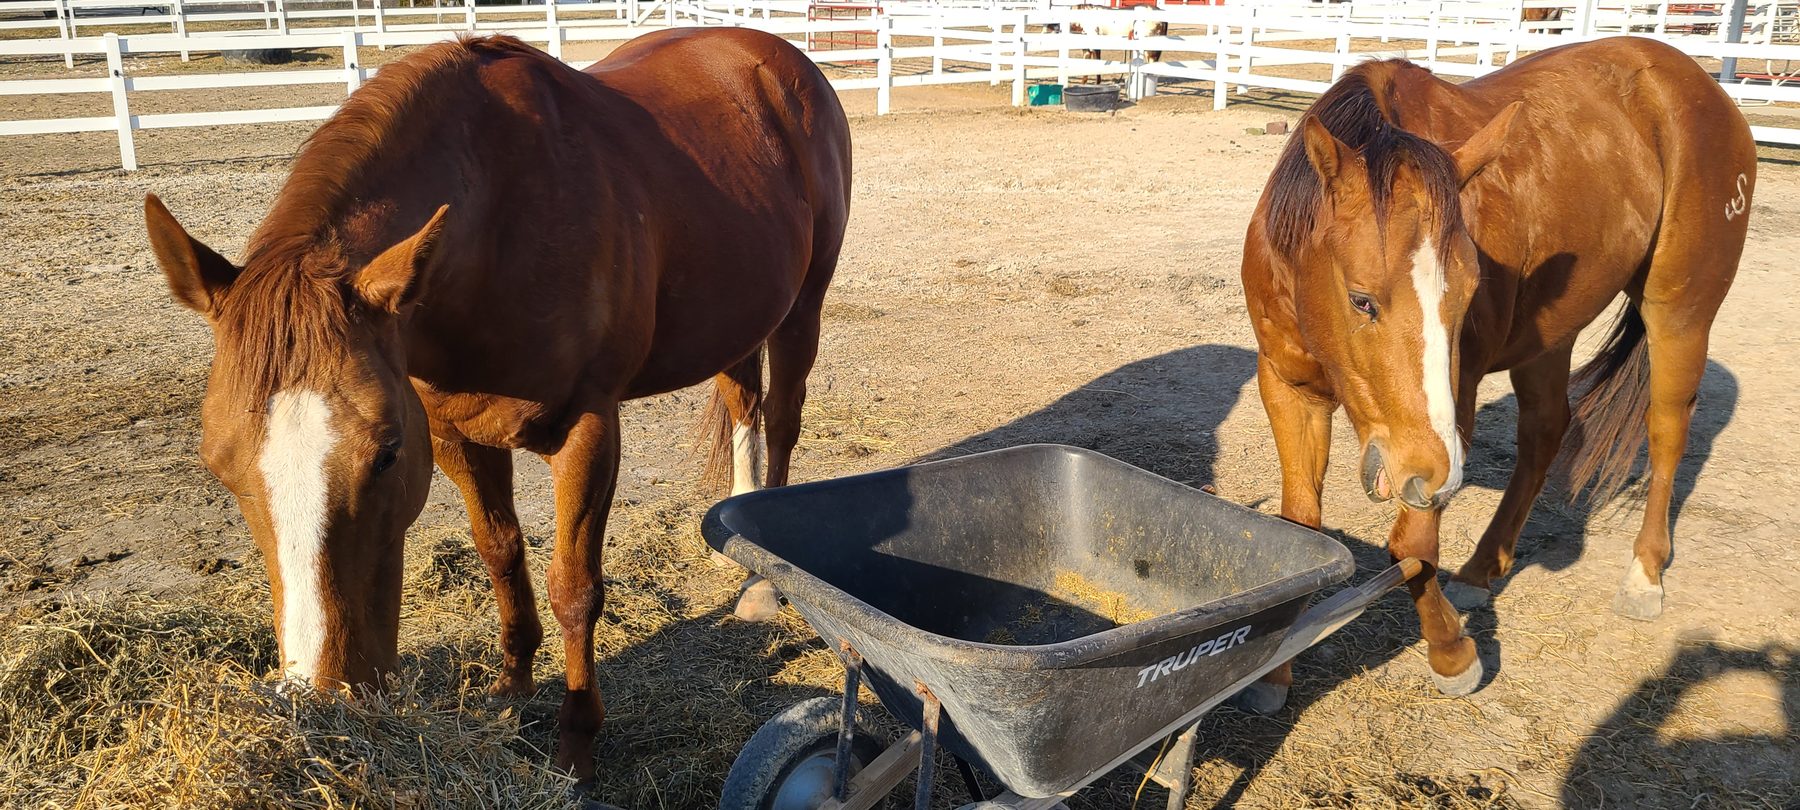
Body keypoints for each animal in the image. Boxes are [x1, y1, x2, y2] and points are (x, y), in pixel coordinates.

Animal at [141, 29, 851, 781]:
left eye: (386, 454)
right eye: (217, 464)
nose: (325, 698)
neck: (498, 223)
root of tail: (773, 55)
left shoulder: (588, 431)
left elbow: (575, 587)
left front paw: (575, 747)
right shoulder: (456, 435)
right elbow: (500, 554)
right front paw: (511, 691)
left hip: (802, 309)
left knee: (781, 422)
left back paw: (766, 586)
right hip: (737, 314)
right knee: (743, 403)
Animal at [1237, 37, 1752, 711]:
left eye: (1467, 294)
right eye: (1361, 299)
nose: (1428, 470)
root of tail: (1700, 84)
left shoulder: (1450, 411)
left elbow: (1412, 546)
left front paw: (1452, 653)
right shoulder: (1288, 389)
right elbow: (1297, 528)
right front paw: (1271, 673)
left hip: (1679, 314)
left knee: (1666, 431)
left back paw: (1643, 575)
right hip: (1548, 335)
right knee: (1545, 433)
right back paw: (1484, 569)